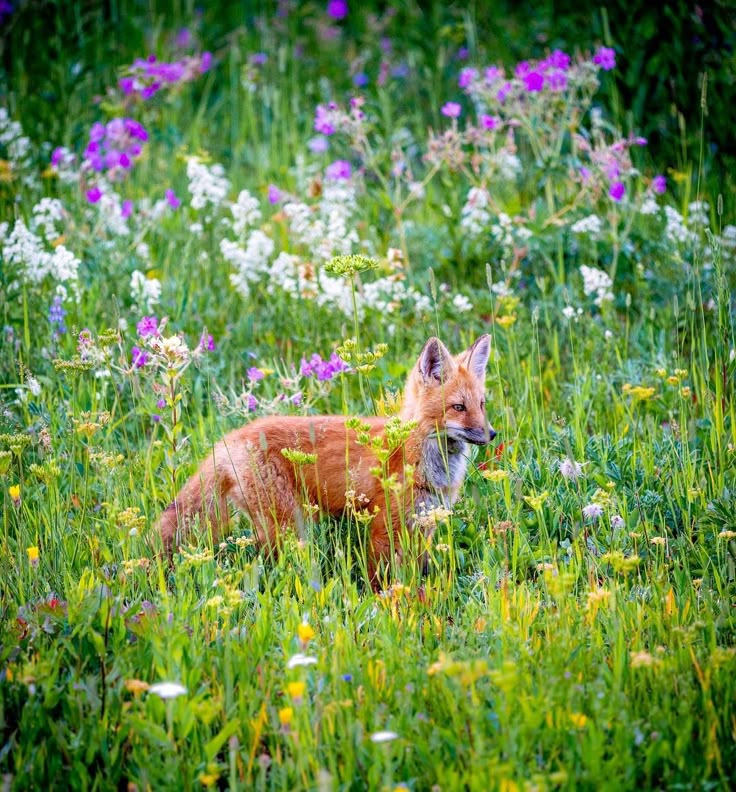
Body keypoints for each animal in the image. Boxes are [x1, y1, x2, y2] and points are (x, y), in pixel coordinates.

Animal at [160, 336, 494, 588]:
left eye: (481, 405)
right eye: (458, 407)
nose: (492, 434)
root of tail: (231, 438)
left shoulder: (424, 523)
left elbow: (417, 570)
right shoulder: (383, 526)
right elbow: (381, 577)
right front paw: (387, 603)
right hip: (288, 527)